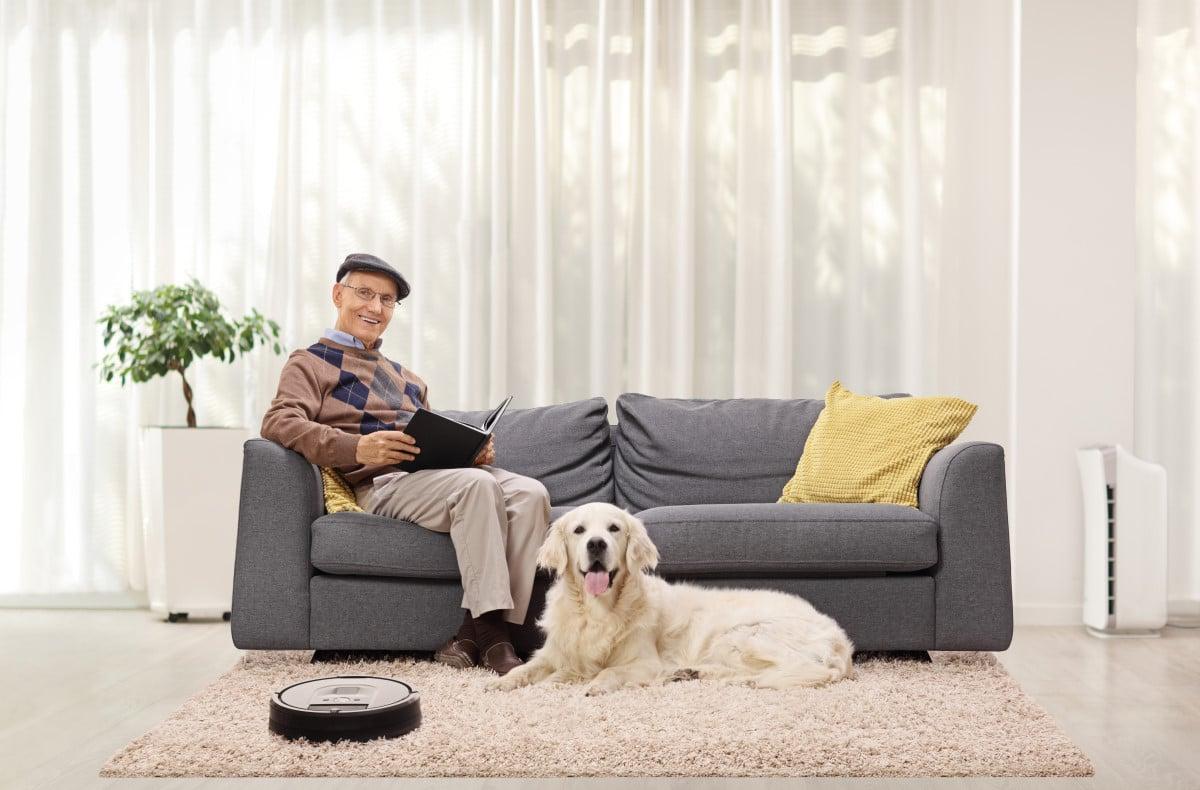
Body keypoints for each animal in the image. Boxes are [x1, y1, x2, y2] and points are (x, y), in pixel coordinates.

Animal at [484, 501, 854, 691]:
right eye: (579, 530)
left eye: (614, 528)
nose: (596, 544)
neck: (598, 611)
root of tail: (841, 641)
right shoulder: (556, 652)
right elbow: (526, 670)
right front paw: (500, 683)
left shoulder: (645, 662)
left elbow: (610, 672)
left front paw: (595, 684)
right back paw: (694, 674)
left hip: (747, 635)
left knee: (796, 668)